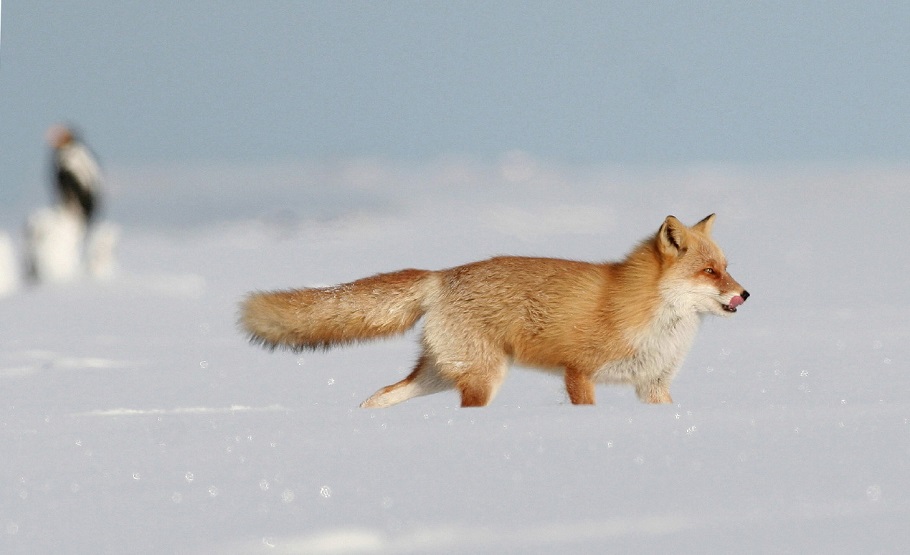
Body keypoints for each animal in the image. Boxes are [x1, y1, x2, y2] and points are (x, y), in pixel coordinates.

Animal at [240, 216, 748, 408]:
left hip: (439, 374)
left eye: (726, 267)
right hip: (483, 377)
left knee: (379, 395)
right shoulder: (579, 372)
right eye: (708, 272)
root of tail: (441, 275)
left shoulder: (652, 386)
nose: (745, 294)